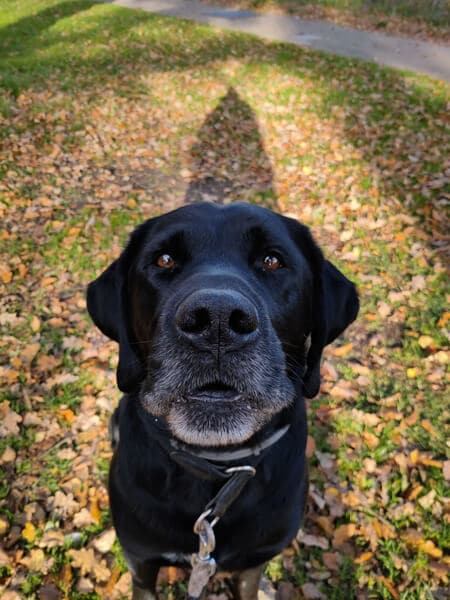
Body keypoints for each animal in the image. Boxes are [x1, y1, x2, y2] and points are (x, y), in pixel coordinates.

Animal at [86, 203, 356, 600]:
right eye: (164, 259)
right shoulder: (141, 559)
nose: (216, 320)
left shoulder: (254, 562)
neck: (215, 464)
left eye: (272, 261)